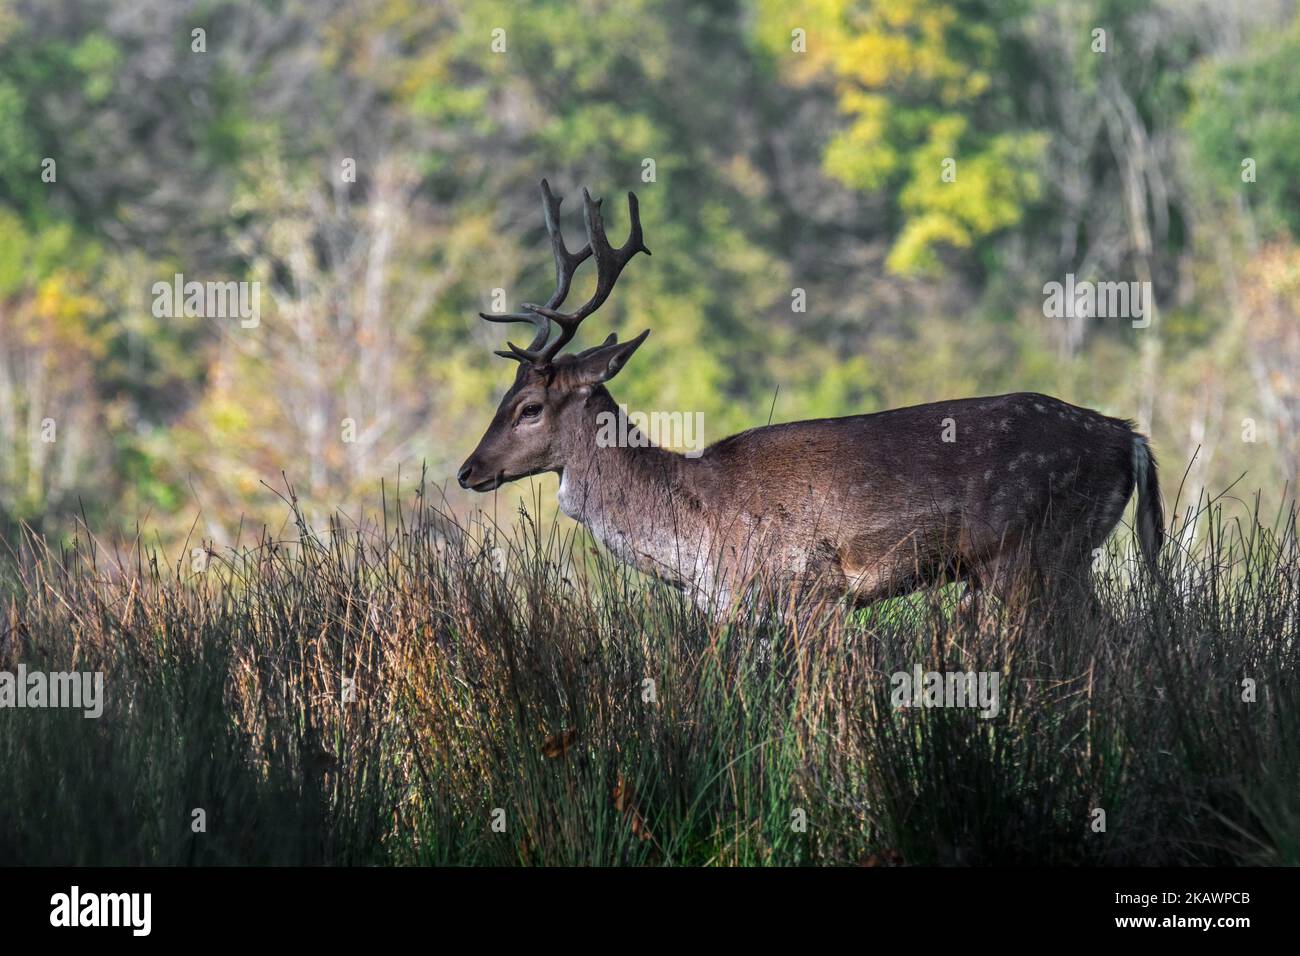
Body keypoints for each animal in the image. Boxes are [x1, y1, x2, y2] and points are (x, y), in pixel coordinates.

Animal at [457, 180, 1170, 616]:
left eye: (529, 407)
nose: (468, 470)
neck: (694, 535)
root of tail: (1129, 436)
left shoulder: (809, 590)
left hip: (1033, 550)